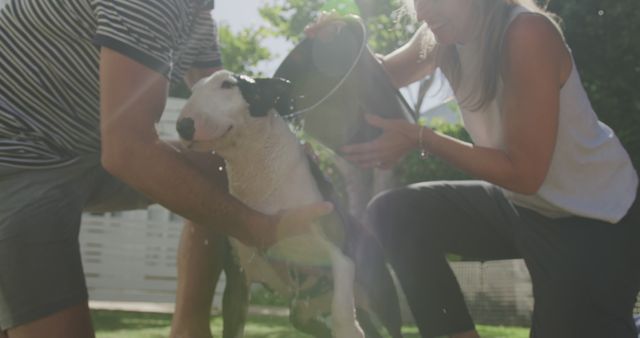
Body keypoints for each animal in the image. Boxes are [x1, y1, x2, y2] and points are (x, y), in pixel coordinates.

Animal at [175, 69, 402, 338]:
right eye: (194, 90)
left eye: (228, 85)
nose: (183, 126)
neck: (261, 173)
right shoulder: (239, 278)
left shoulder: (339, 256)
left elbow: (342, 311)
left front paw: (348, 328)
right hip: (305, 310)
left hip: (382, 300)